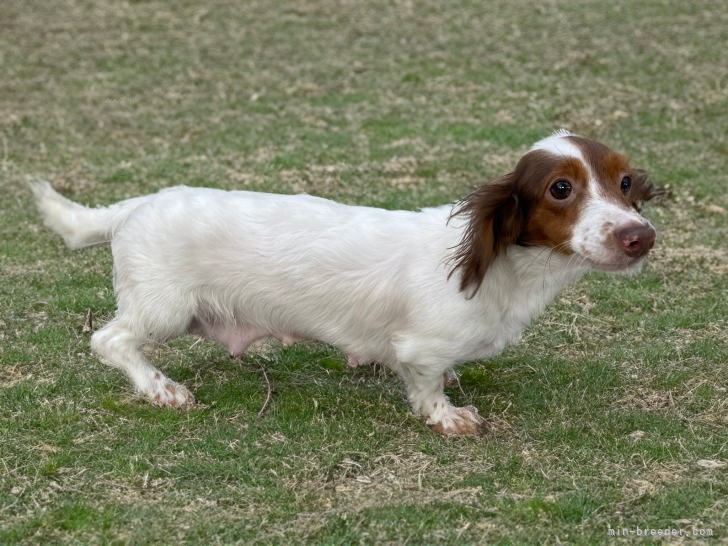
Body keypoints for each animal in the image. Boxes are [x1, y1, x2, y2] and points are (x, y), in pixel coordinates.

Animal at [28, 131, 656, 434]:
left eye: (625, 182)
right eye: (560, 189)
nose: (640, 237)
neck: (501, 267)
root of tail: (136, 204)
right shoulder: (421, 348)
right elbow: (427, 385)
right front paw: (448, 416)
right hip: (164, 308)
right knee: (108, 341)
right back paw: (161, 388)